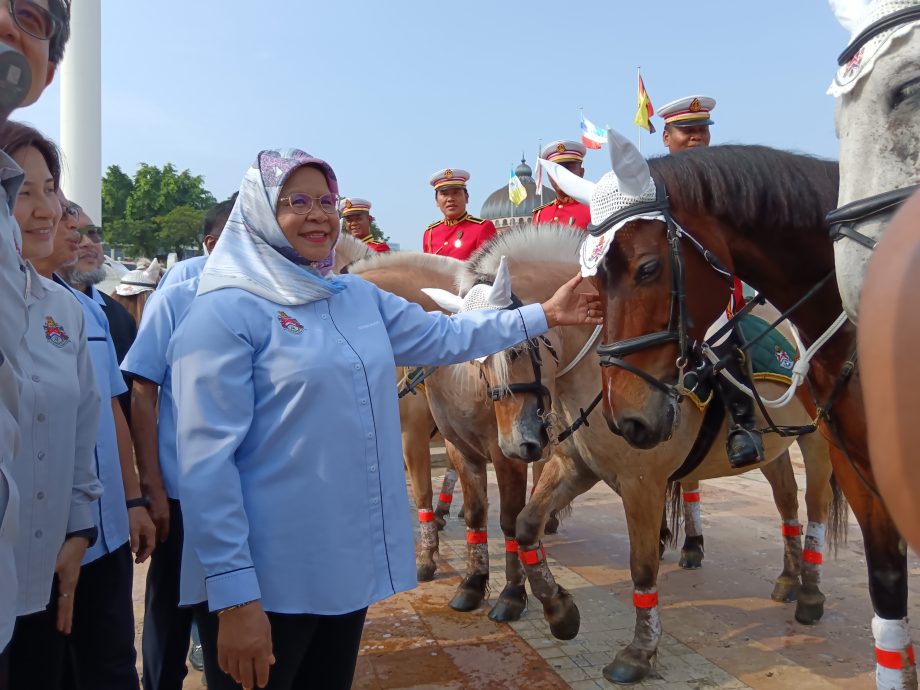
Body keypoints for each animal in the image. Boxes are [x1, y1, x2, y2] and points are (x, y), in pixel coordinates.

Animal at [446, 226, 840, 684]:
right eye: (478, 360)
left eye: (513, 350)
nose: (514, 445)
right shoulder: (576, 467)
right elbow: (527, 525)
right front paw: (560, 612)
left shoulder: (642, 483)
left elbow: (643, 564)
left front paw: (639, 651)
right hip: (775, 447)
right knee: (787, 503)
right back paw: (789, 577)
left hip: (817, 441)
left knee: (815, 506)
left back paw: (809, 593)